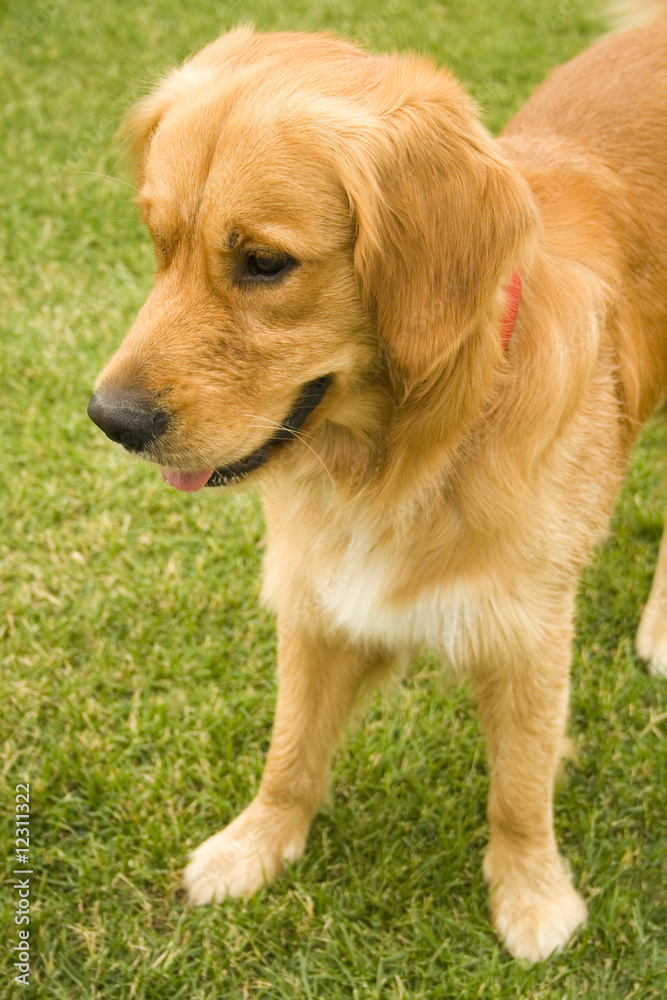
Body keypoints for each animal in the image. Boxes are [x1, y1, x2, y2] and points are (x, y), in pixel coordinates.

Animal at [87, 7, 667, 960]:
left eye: (263, 262)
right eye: (158, 244)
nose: (111, 418)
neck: (405, 456)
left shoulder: (527, 629)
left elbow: (519, 785)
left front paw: (532, 895)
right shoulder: (317, 596)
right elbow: (289, 751)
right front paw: (255, 844)